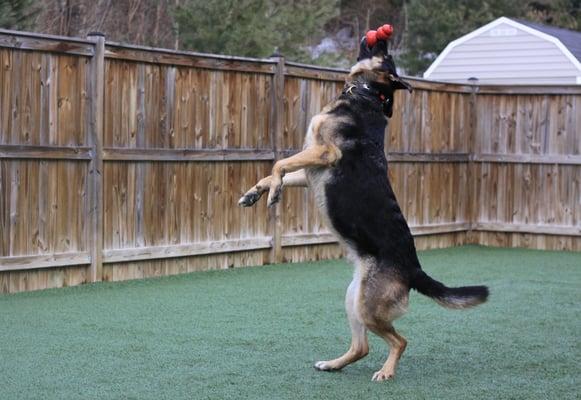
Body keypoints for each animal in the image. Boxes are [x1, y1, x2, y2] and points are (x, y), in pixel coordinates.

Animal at [238, 26, 488, 382]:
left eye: (386, 54)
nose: (383, 35)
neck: (367, 93)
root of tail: (414, 269)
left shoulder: (324, 154)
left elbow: (279, 164)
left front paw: (273, 194)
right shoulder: (311, 172)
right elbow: (274, 171)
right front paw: (256, 193)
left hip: (367, 307)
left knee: (400, 340)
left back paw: (386, 372)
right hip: (354, 298)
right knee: (363, 346)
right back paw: (333, 364)